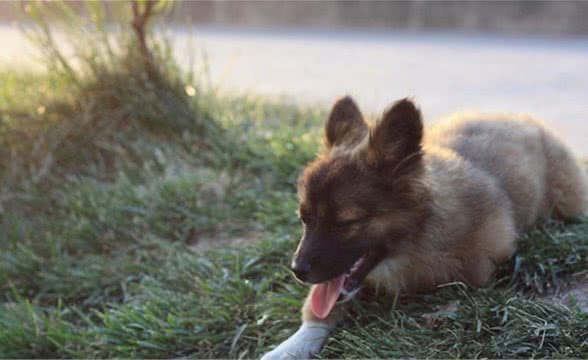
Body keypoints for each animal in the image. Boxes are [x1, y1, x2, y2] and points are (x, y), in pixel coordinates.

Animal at [262, 96, 588, 360]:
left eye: (346, 223)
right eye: (304, 219)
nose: (297, 271)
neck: (414, 240)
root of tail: (526, 120)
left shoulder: (480, 271)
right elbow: (318, 311)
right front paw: (290, 347)